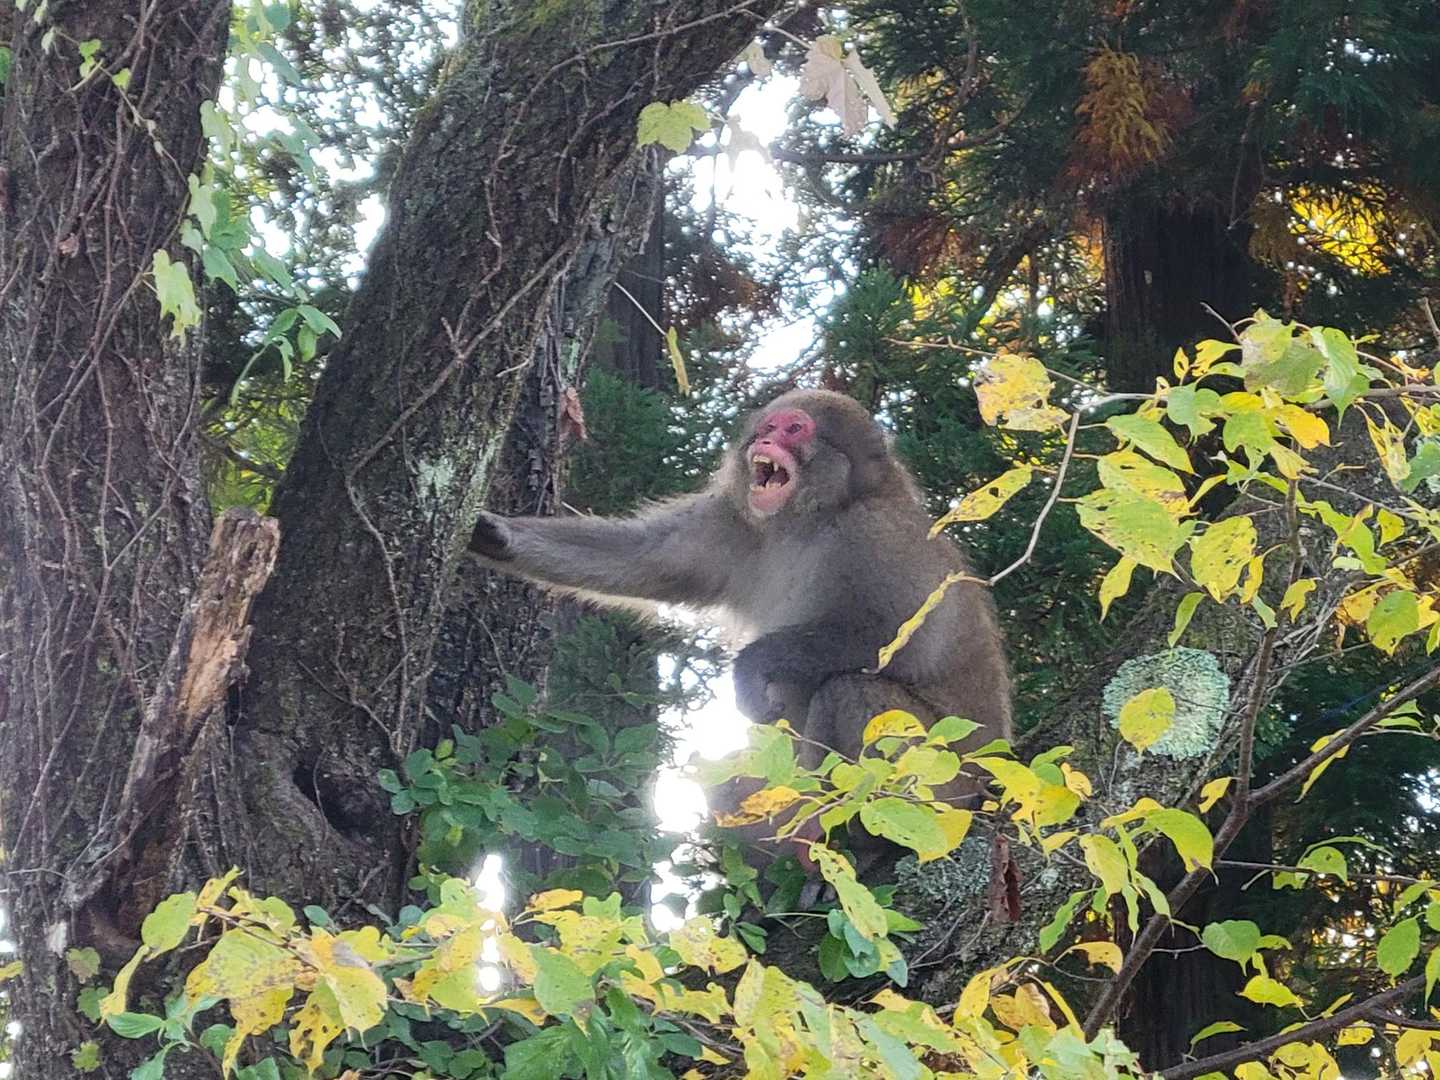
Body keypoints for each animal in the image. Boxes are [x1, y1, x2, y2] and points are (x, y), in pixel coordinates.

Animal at [469, 388, 1012, 871]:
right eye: (769, 425)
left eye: (795, 428)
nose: (765, 441)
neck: (812, 518)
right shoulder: (735, 522)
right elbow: (647, 559)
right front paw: (495, 536)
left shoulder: (880, 536)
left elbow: (895, 638)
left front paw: (750, 668)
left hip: (949, 788)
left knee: (850, 691)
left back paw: (865, 842)